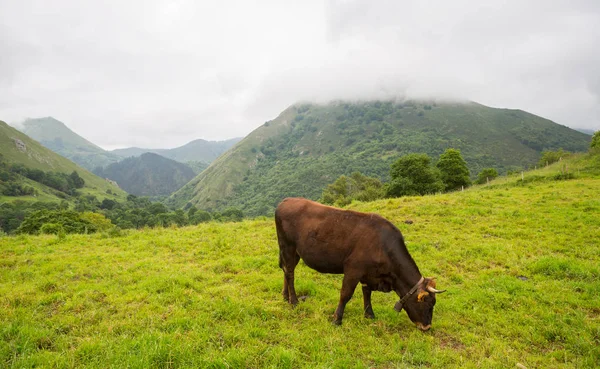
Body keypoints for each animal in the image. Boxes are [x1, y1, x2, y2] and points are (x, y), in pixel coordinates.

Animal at [276, 197, 446, 330]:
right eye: (428, 304)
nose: (427, 327)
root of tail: (286, 200)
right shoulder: (353, 269)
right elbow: (346, 294)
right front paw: (337, 319)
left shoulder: (369, 273)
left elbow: (367, 292)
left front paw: (369, 314)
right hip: (288, 246)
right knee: (290, 273)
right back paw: (294, 301)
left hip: (294, 252)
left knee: (286, 270)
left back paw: (285, 296)